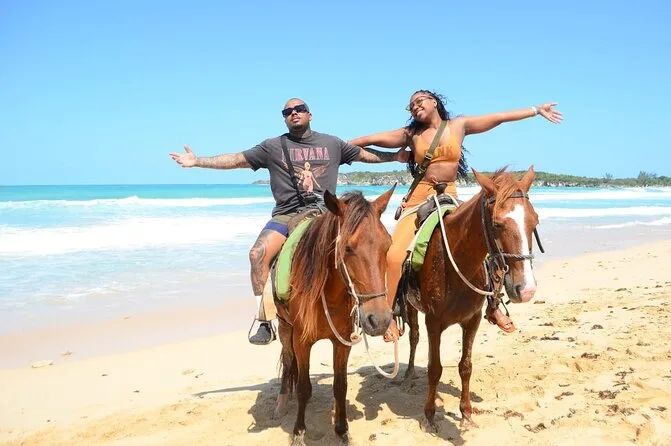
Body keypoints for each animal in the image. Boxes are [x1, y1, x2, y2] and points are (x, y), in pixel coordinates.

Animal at [274, 185, 396, 445]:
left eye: (388, 245)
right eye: (348, 248)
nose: (379, 320)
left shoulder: (342, 343)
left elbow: (340, 386)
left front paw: (342, 431)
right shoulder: (302, 341)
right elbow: (303, 388)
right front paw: (298, 432)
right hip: (284, 327)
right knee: (288, 361)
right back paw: (282, 402)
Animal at [400, 166, 541, 432]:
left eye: (534, 220)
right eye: (496, 224)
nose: (526, 289)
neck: (456, 259)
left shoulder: (472, 320)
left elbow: (466, 366)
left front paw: (466, 413)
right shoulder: (433, 322)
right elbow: (434, 368)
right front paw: (429, 415)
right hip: (411, 307)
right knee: (413, 336)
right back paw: (409, 374)